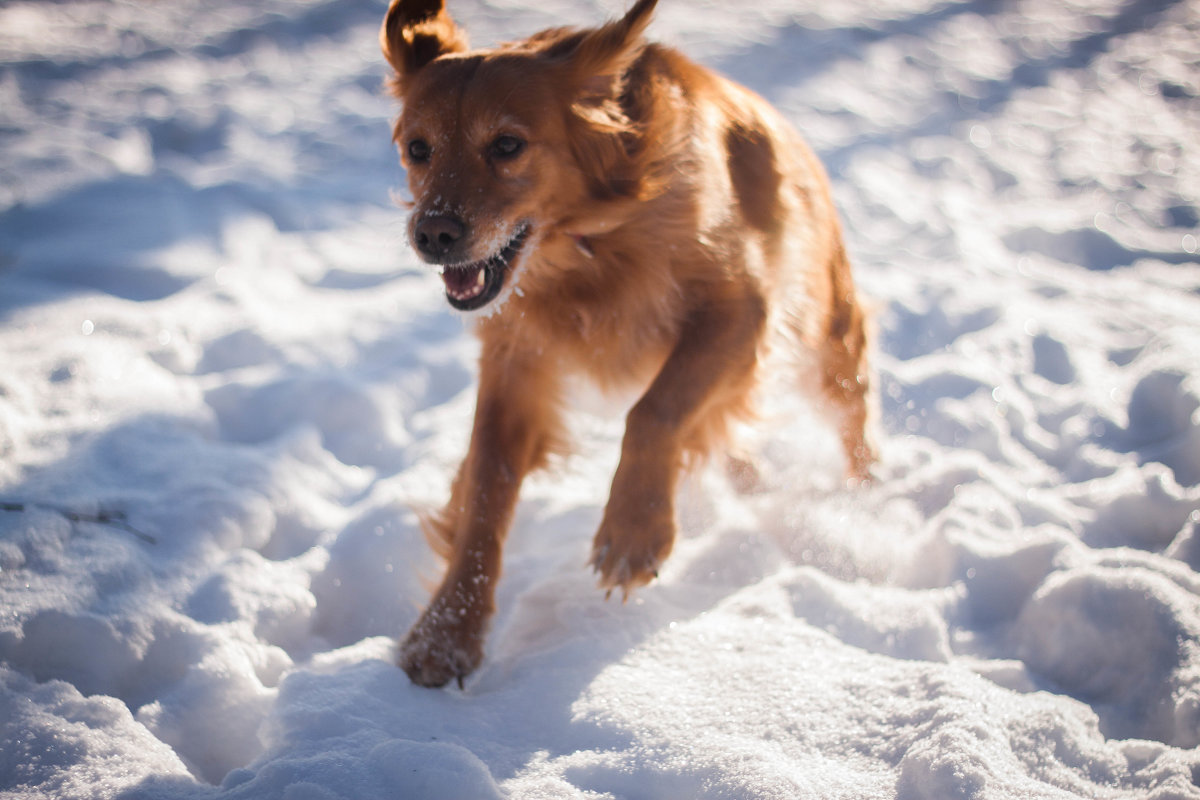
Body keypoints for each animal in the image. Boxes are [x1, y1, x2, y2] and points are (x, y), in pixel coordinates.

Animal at [379, 0, 878, 690]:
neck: (590, 248)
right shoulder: (516, 365)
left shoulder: (738, 312)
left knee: (852, 422)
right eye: (418, 149)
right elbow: (485, 490)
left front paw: (634, 530)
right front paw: (449, 629)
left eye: (507, 145)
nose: (433, 234)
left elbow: (654, 411)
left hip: (828, 339)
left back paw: (868, 510)